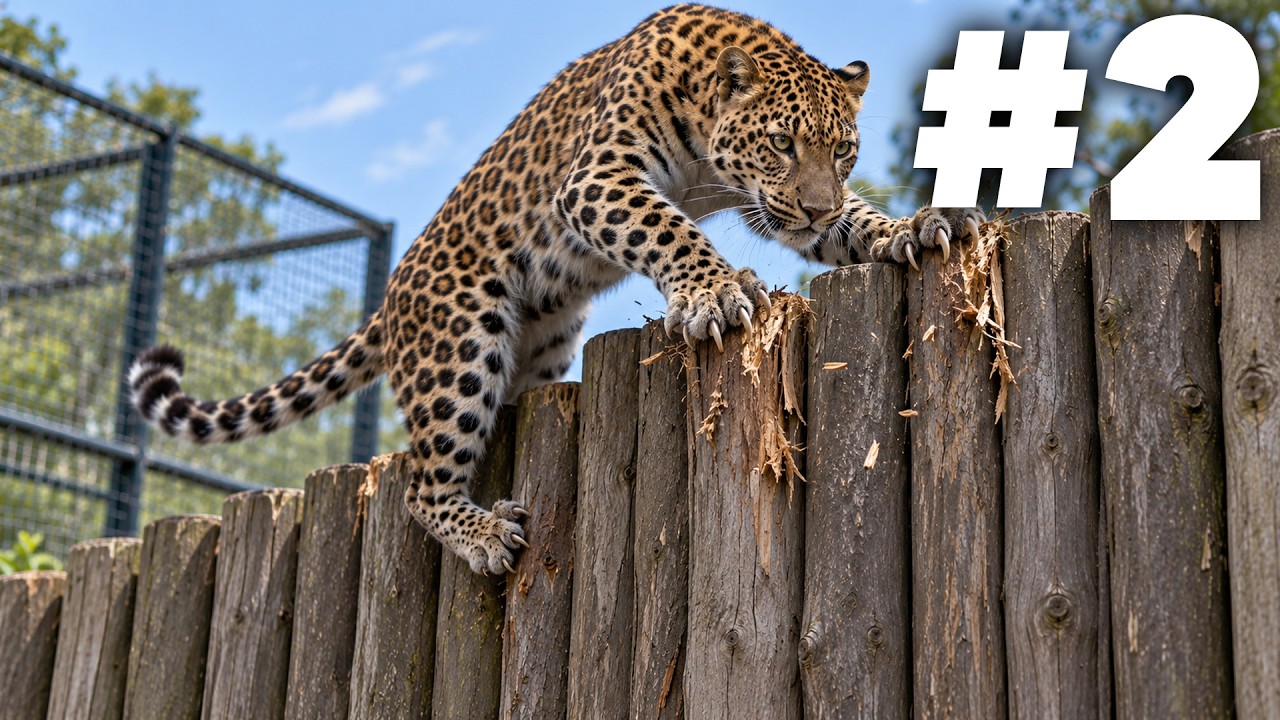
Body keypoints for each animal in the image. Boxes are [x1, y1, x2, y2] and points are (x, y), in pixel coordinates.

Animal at [128, 4, 984, 575]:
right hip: (459, 340)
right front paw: (713, 291)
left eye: (842, 153)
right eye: (780, 141)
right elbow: (668, 228)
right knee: (419, 482)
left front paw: (911, 227)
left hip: (543, 342)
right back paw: (483, 534)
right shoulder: (597, 180)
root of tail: (392, 296)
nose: (815, 206)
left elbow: (854, 225)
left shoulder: (778, 208)